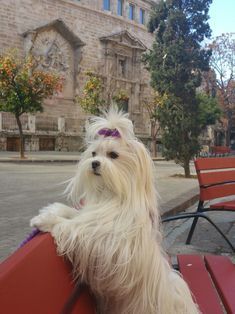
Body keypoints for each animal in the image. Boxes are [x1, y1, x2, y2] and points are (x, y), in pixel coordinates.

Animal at [30, 108, 199, 314]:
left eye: (113, 155)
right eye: (94, 153)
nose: (94, 163)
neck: (111, 194)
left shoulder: (103, 240)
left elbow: (73, 226)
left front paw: (46, 220)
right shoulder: (93, 215)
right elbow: (76, 215)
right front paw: (54, 210)